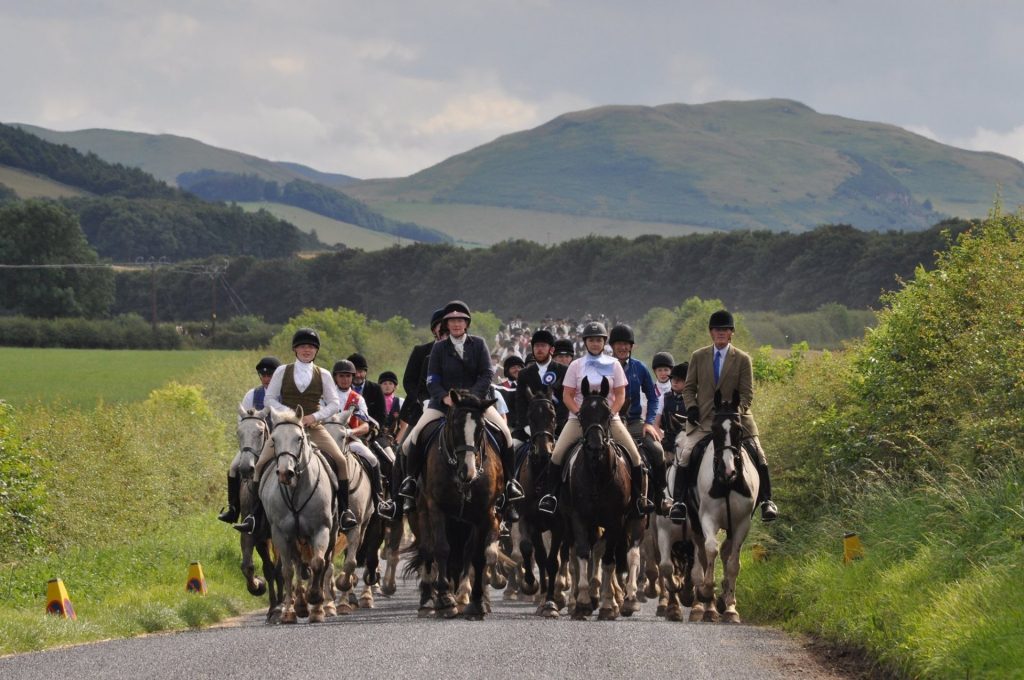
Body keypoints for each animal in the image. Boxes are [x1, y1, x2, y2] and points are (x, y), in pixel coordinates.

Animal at [260, 405, 335, 622]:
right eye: (274, 439)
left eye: (299, 438)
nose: (286, 473)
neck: (296, 491)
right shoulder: (280, 534)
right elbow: (287, 570)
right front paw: (289, 611)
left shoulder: (321, 529)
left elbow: (318, 563)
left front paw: (316, 601)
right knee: (297, 564)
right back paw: (300, 605)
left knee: (322, 563)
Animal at [319, 411, 380, 614]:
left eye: (343, 436)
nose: (331, 458)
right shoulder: (330, 530)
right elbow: (328, 565)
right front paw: (328, 603)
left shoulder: (356, 527)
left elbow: (350, 563)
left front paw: (343, 589)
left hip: (365, 526)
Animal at [405, 387, 505, 614]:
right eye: (455, 425)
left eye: (482, 428)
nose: (467, 472)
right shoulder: (436, 508)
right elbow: (441, 548)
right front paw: (445, 597)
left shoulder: (483, 513)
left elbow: (477, 554)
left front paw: (477, 600)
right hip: (421, 515)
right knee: (427, 549)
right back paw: (428, 598)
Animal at [684, 387, 757, 622]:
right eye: (714, 429)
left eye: (738, 429)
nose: (728, 471)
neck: (726, 483)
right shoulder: (708, 518)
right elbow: (710, 550)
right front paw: (707, 592)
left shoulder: (742, 523)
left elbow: (733, 563)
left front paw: (731, 608)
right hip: (694, 521)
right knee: (702, 555)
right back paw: (702, 607)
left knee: (725, 552)